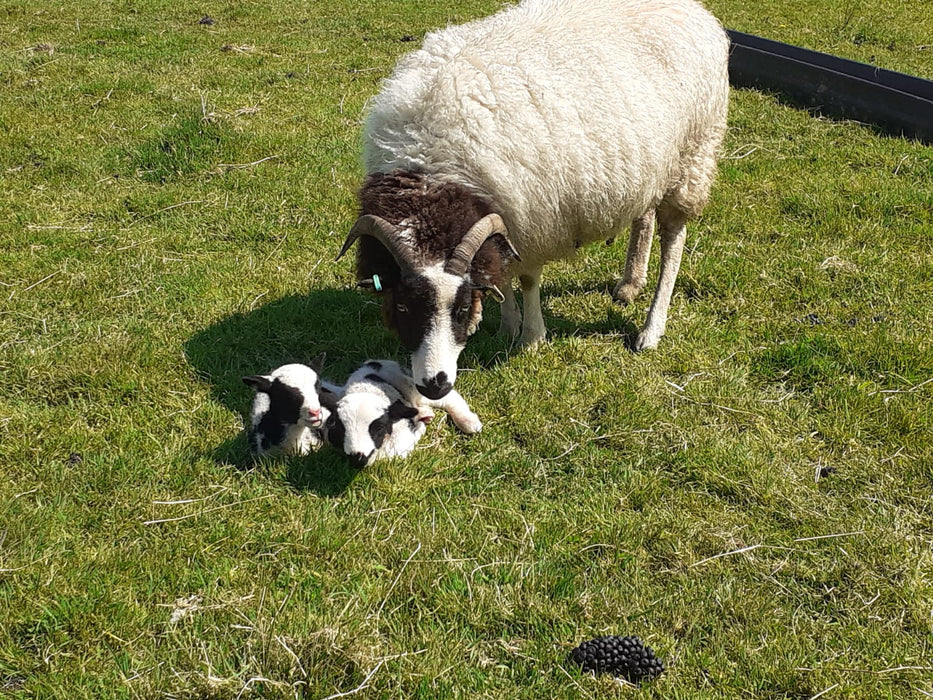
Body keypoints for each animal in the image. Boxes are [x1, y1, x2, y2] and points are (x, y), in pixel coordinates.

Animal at [338, 0, 732, 396]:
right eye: (403, 307)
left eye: (461, 309)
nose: (434, 385)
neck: (430, 171)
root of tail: (695, 10)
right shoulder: (504, 217)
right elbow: (499, 274)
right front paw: (507, 326)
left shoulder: (530, 218)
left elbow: (526, 279)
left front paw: (530, 337)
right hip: (650, 165)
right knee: (644, 215)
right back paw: (629, 285)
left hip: (692, 157)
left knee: (674, 240)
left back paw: (651, 328)